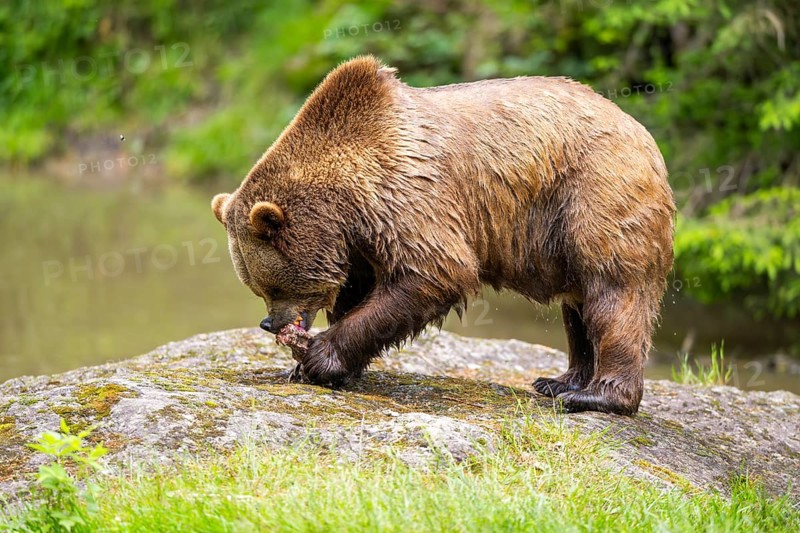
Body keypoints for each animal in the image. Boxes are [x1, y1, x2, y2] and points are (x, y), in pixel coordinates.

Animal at [211, 56, 675, 416]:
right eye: (257, 287)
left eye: (270, 285)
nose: (270, 323)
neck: (347, 203)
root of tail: (644, 134)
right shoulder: (360, 239)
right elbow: (358, 290)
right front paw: (317, 364)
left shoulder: (408, 195)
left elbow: (435, 272)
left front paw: (319, 356)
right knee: (577, 306)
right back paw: (560, 381)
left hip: (594, 194)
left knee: (612, 293)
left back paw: (597, 396)